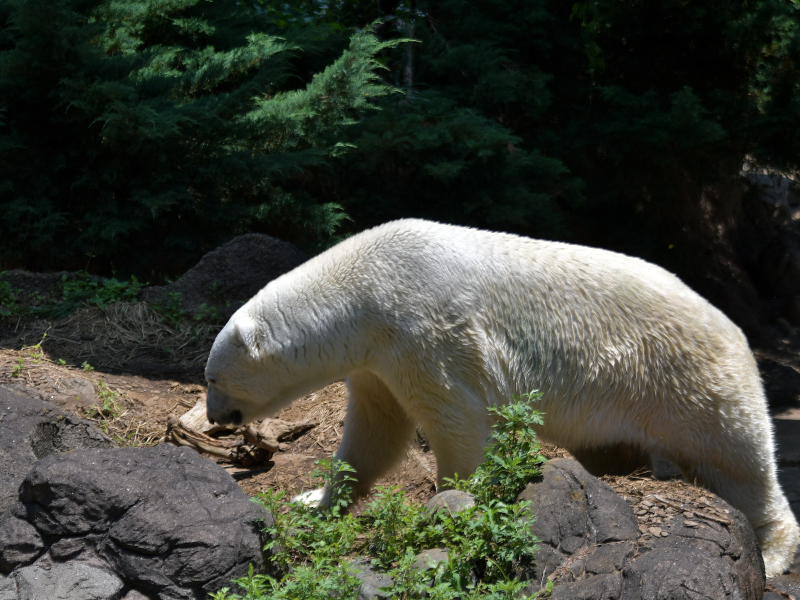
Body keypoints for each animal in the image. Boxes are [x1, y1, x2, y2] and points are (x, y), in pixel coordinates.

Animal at [205, 217, 800, 576]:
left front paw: (448, 507)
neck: (364, 286)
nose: (215, 420)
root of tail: (737, 332)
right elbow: (375, 432)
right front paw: (316, 500)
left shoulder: (423, 329)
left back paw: (771, 552)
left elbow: (458, 420)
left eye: (211, 379)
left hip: (687, 383)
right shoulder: (377, 360)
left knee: (738, 459)